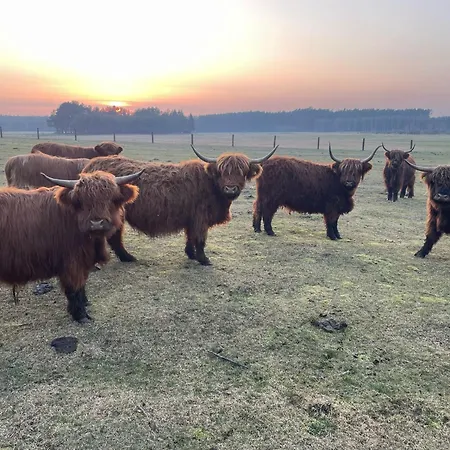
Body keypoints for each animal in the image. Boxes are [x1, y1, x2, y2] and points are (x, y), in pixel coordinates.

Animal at [0, 170, 143, 323]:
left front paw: (84, 304)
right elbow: (75, 288)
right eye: (82, 201)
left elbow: (81, 285)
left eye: (110, 198)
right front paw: (81, 315)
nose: (96, 223)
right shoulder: (72, 263)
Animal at [81, 145, 278, 265]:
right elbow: (200, 239)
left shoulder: (192, 218)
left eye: (241, 171)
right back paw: (127, 257)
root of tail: (90, 167)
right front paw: (203, 259)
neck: (211, 185)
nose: (230, 189)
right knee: (114, 236)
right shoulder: (201, 218)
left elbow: (190, 237)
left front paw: (191, 254)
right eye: (222, 171)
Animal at [252, 144, 381, 240]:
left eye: (357, 171)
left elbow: (335, 222)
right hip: (271, 197)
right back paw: (270, 231)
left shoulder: (337, 207)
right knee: (267, 212)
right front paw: (332, 236)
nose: (349, 183)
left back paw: (257, 229)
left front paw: (338, 235)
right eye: (344, 169)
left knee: (258, 208)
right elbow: (331, 221)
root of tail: (264, 163)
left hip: (263, 195)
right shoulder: (331, 206)